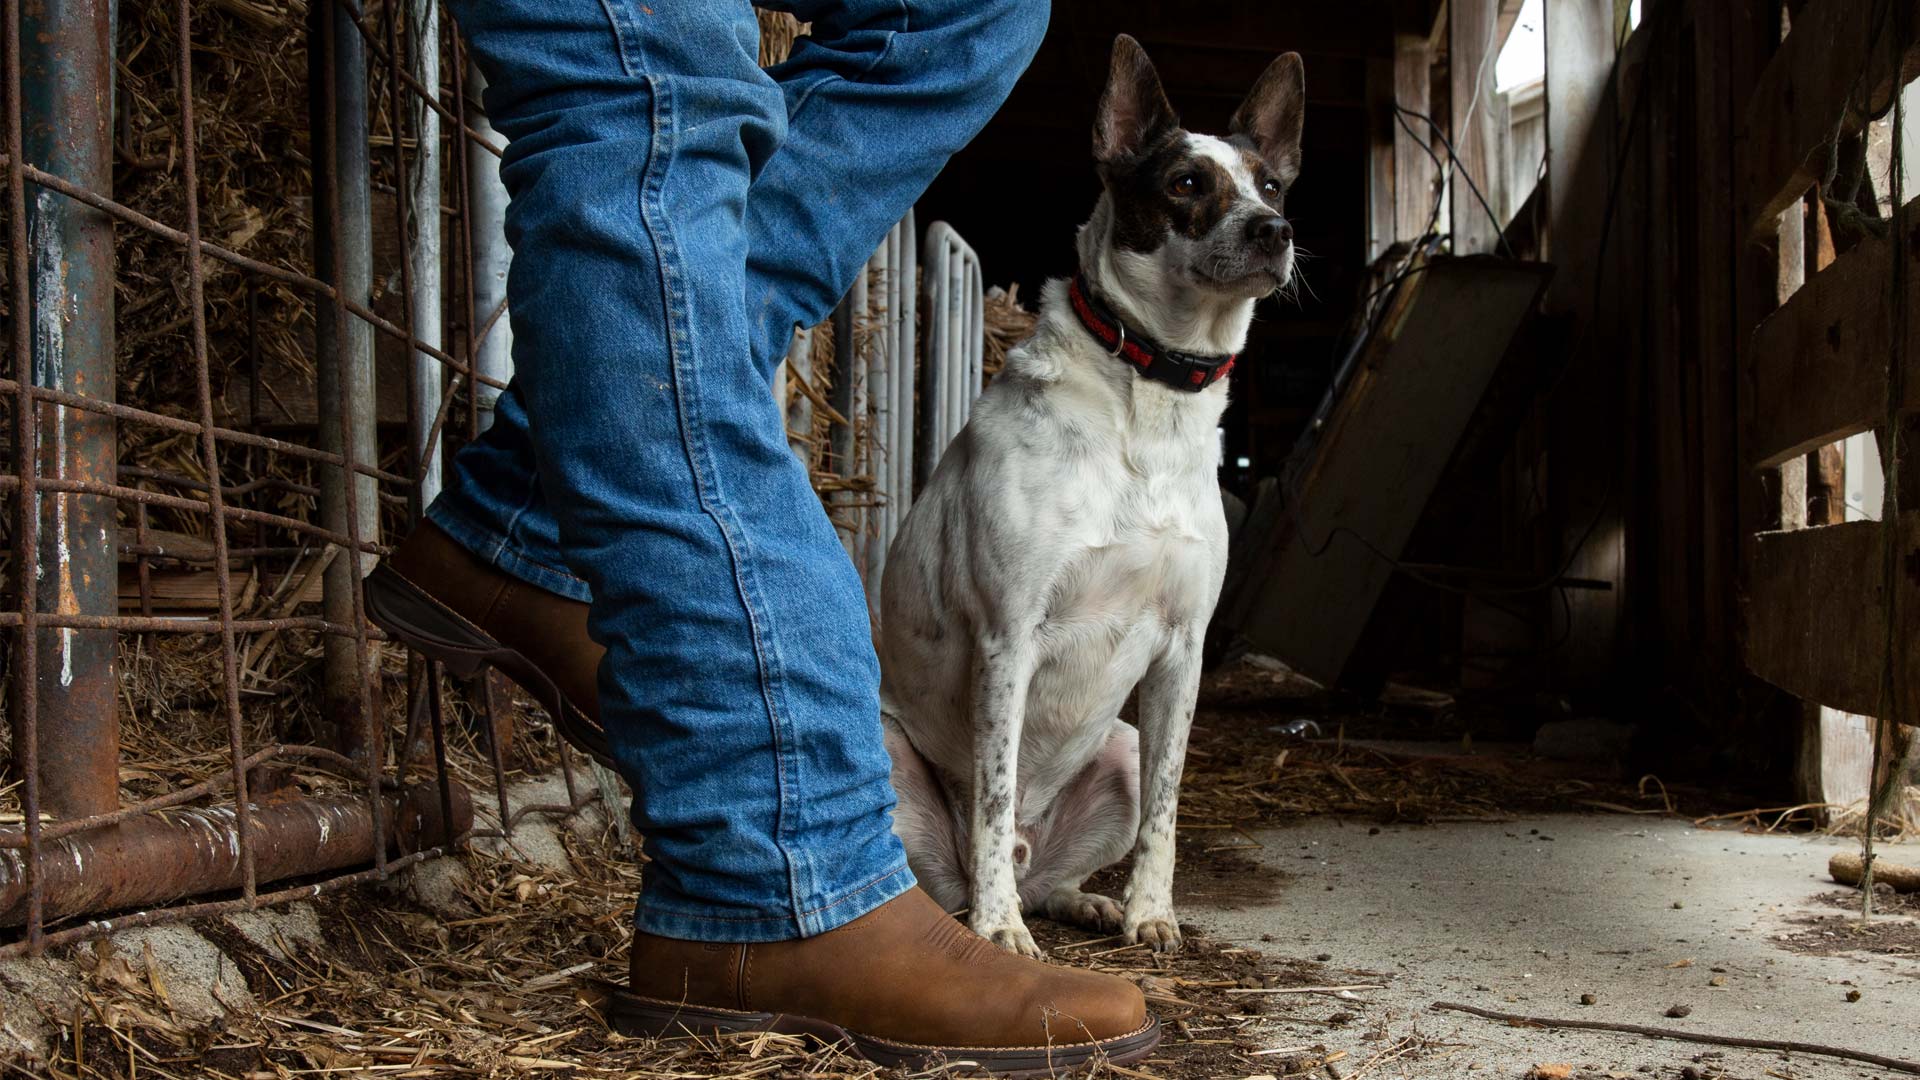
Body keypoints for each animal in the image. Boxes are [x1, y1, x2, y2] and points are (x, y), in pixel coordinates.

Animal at [875, 35, 1305, 949]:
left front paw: (1151, 913)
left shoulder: (1183, 651)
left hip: (1121, 746)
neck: (1152, 395)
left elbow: (1168, 814)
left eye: (1272, 185)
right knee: (959, 866)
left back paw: (1086, 901)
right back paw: (984, 912)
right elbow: (994, 793)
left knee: (1050, 874)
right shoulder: (1007, 639)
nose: (1275, 232)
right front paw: (1000, 932)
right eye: (1186, 183)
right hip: (891, 759)